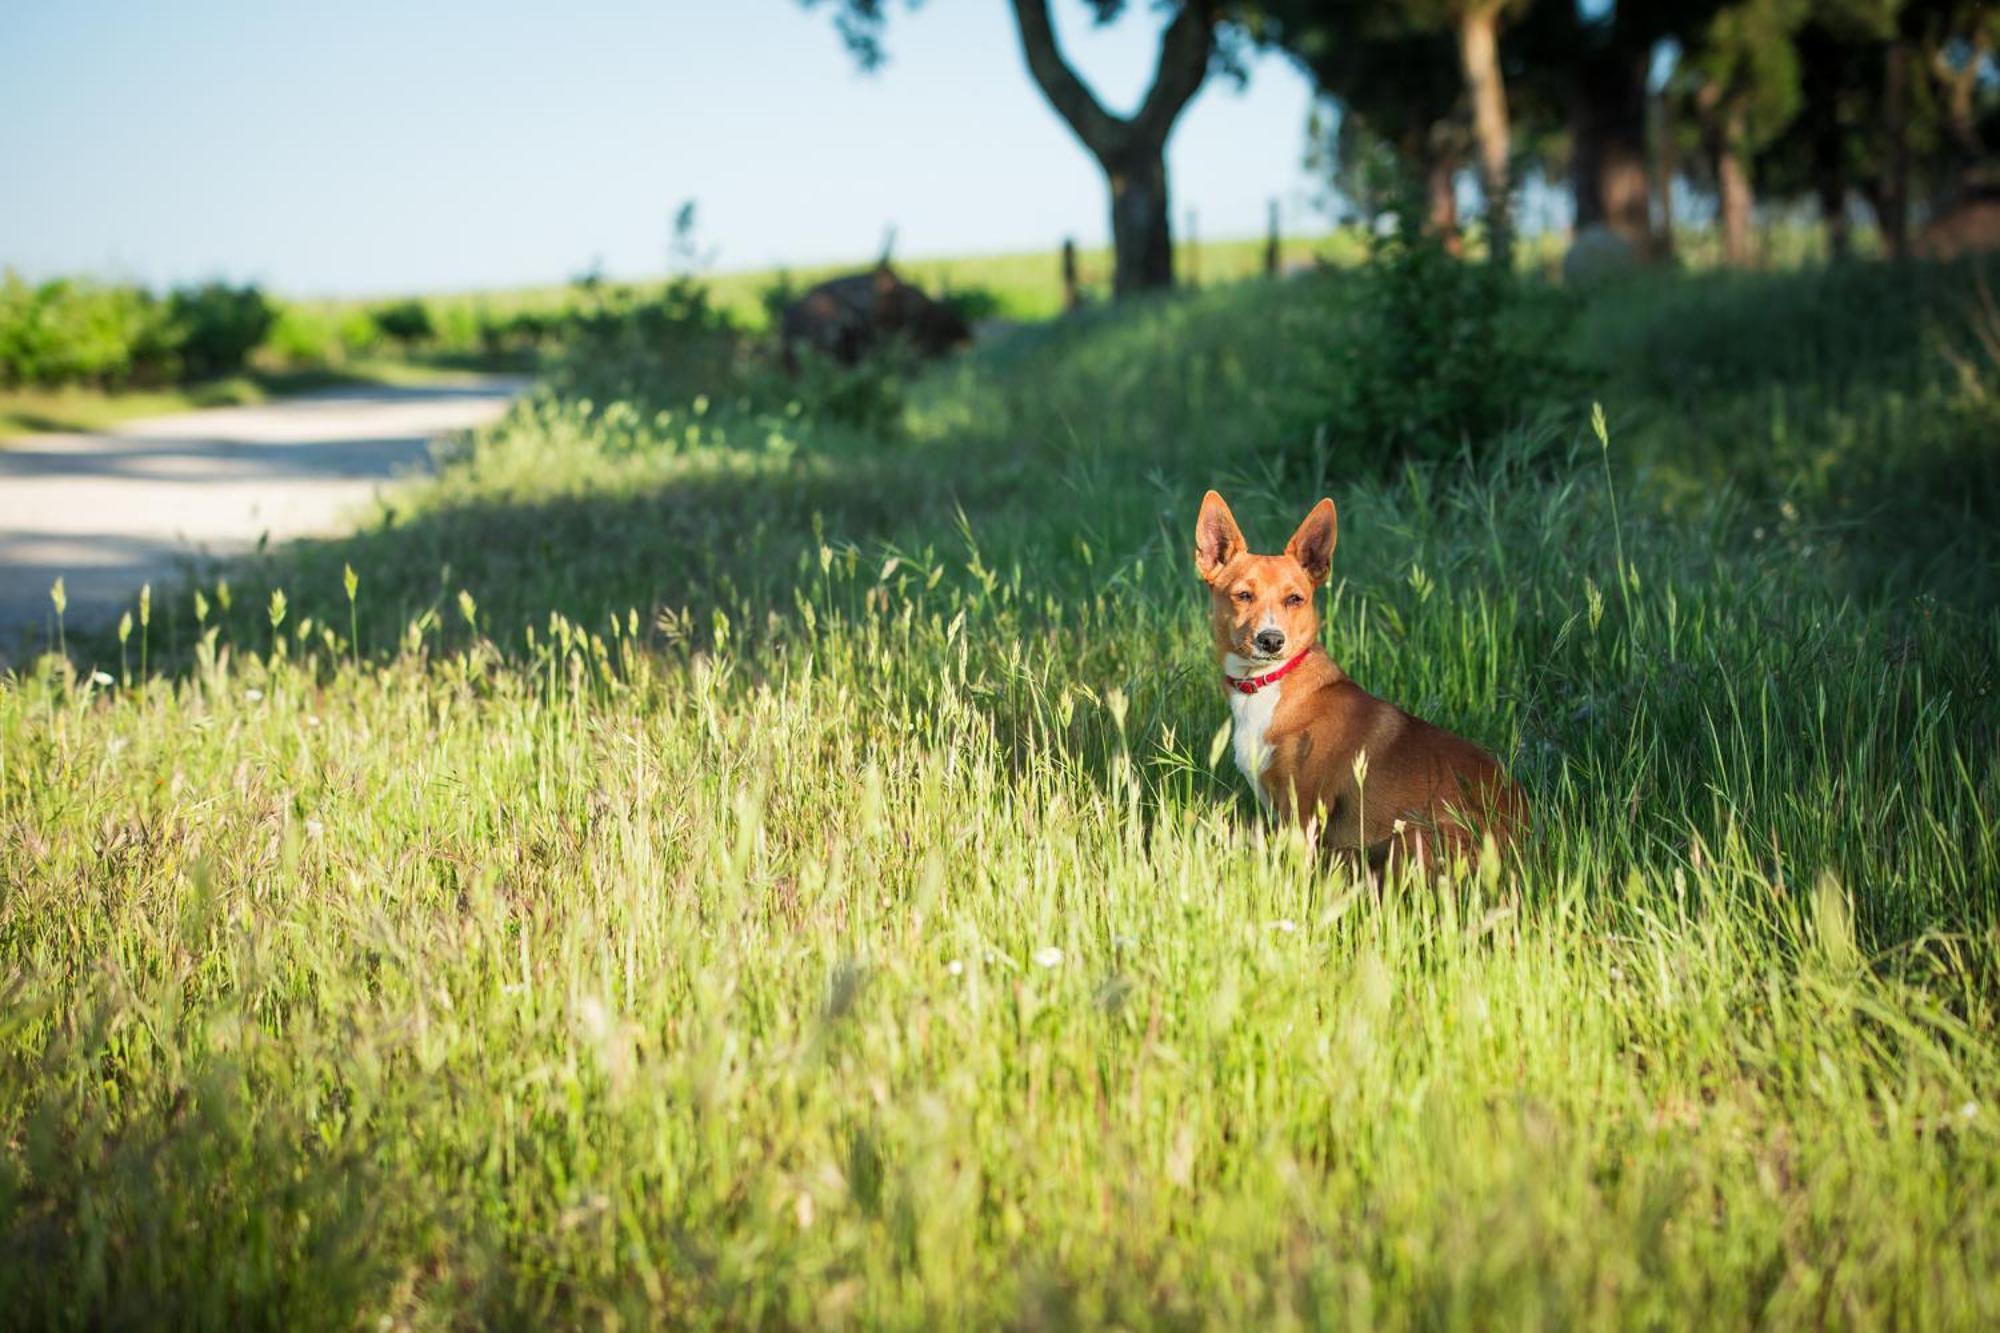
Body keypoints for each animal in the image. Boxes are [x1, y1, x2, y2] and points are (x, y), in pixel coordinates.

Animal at [1192, 492, 1520, 868]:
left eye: (1295, 599)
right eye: (1243, 595)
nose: (1271, 640)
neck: (1267, 685)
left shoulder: (1302, 812)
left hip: (1408, 840)